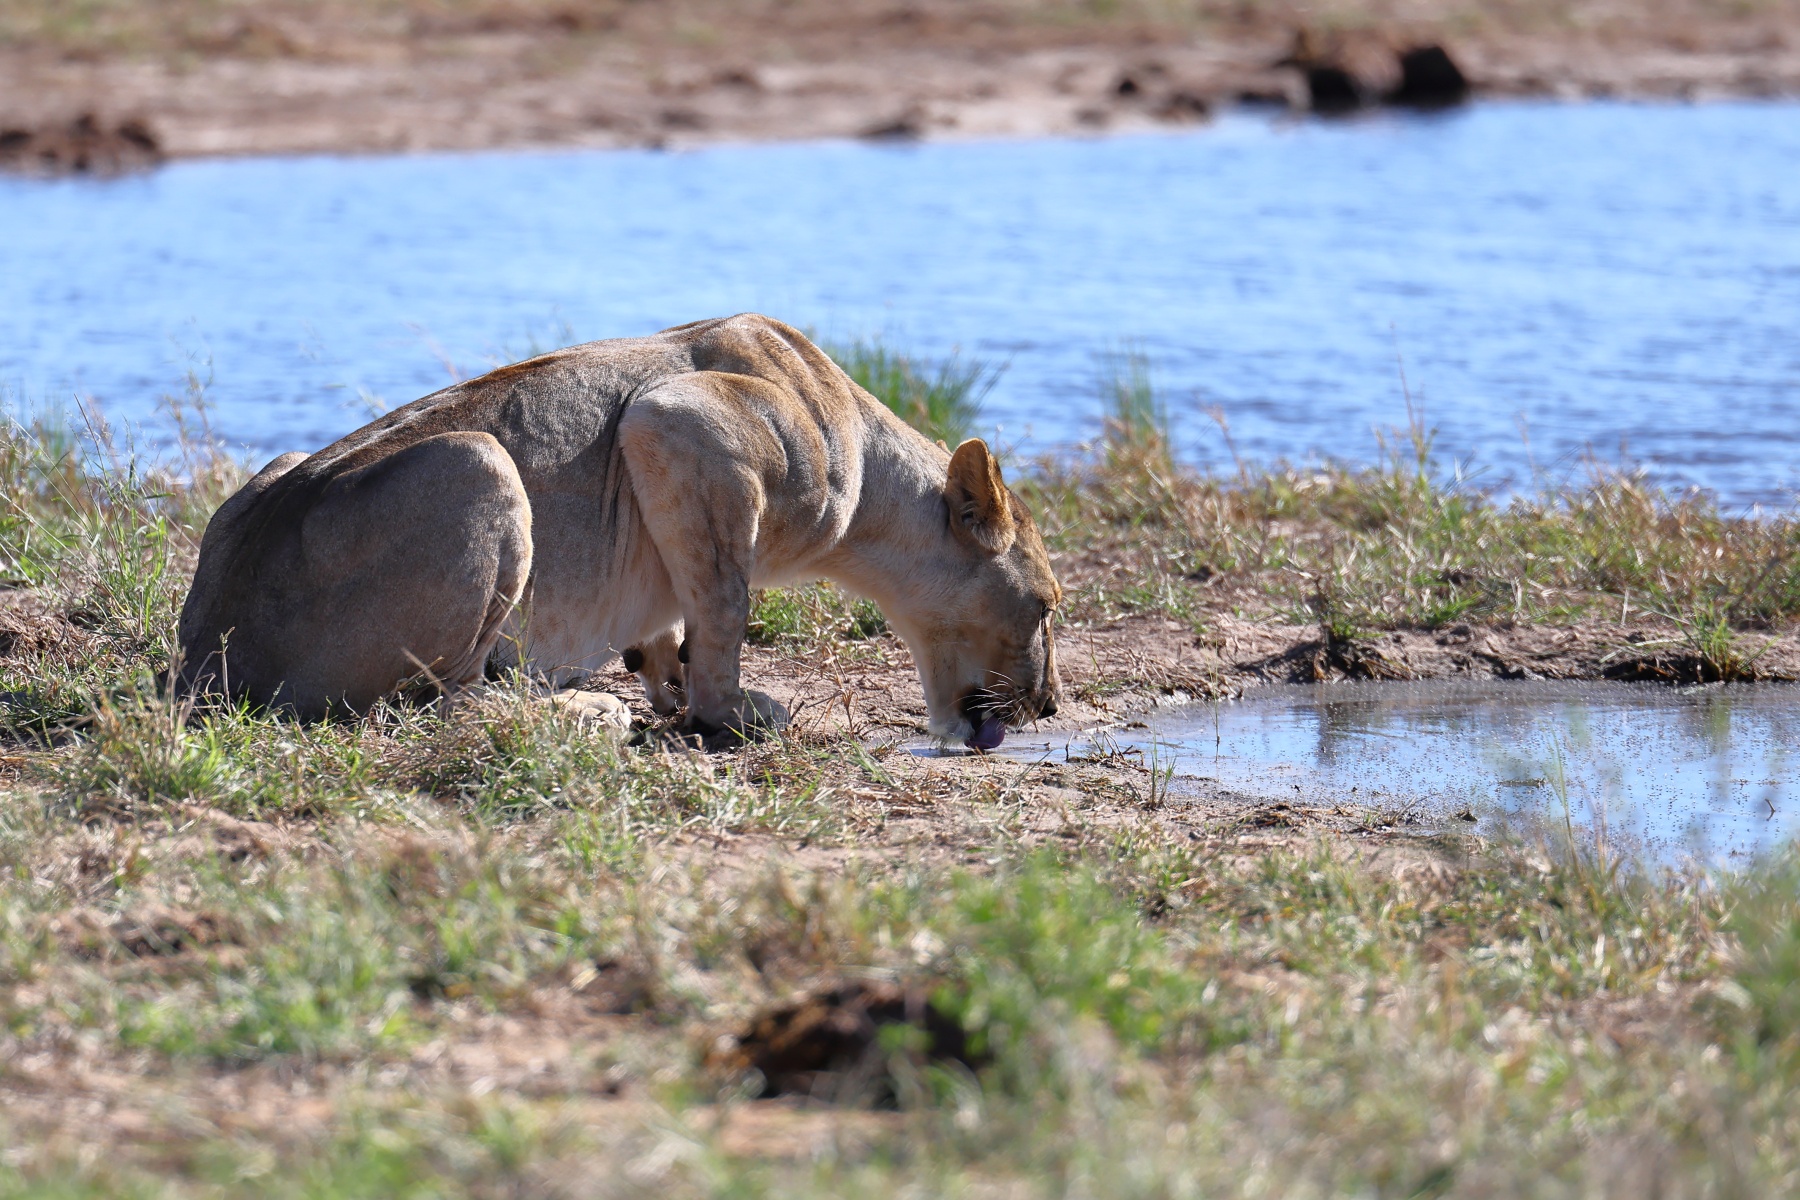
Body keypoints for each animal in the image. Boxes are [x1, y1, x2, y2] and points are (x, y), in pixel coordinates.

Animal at [178, 314, 1061, 748]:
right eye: (1048, 605)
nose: (1050, 706)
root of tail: (203, 666)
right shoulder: (680, 423)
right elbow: (726, 603)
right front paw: (726, 713)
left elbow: (681, 611)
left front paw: (667, 681)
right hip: (479, 462)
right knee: (429, 706)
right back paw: (580, 710)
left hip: (275, 475)